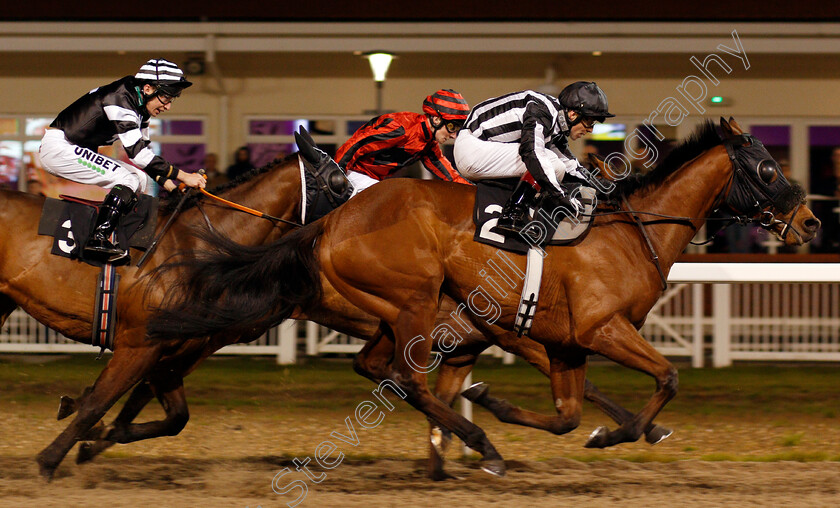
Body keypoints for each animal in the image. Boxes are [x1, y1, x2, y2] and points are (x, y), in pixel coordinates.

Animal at [153, 117, 820, 474]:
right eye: (766, 169)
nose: (811, 222)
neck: (632, 235)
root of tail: (332, 222)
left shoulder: (561, 344)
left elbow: (567, 414)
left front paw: (493, 411)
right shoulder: (597, 330)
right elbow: (667, 378)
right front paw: (615, 433)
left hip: (401, 313)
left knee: (380, 367)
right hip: (413, 300)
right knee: (404, 375)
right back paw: (480, 443)